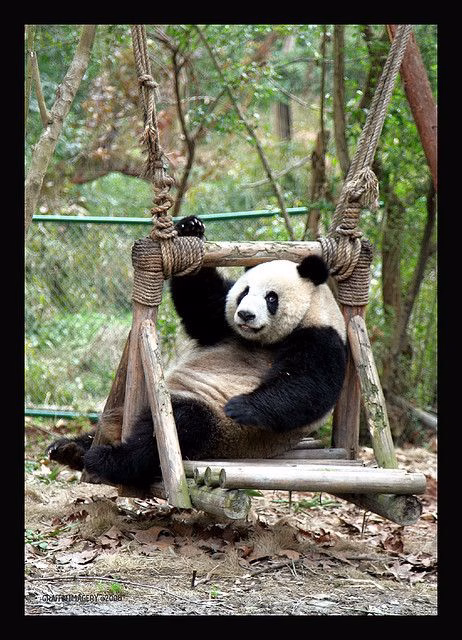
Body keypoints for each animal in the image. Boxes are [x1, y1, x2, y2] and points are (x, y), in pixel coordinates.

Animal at [48, 216, 347, 490]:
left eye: (271, 298)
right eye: (244, 292)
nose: (245, 315)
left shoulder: (322, 337)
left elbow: (307, 386)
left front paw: (242, 406)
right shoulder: (223, 324)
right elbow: (202, 304)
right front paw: (190, 228)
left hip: (219, 429)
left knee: (176, 428)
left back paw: (106, 460)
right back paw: (70, 449)